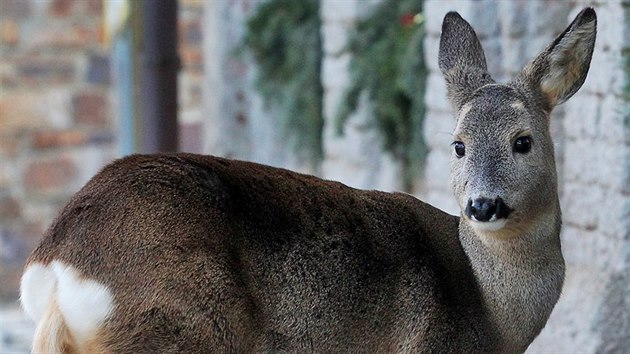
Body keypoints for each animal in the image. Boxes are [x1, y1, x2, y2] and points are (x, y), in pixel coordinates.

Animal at [19, 8, 600, 354]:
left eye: (522, 141)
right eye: (458, 145)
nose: (482, 205)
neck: (492, 313)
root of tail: (56, 266)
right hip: (177, 328)